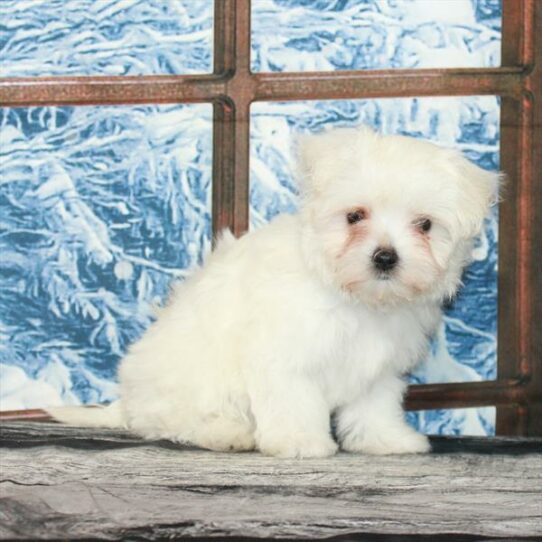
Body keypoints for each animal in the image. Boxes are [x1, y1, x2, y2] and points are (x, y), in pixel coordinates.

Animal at [49, 127, 500, 460]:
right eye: (355, 216)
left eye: (424, 225)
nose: (386, 257)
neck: (352, 297)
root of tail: (128, 399)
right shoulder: (285, 357)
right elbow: (293, 401)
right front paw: (301, 443)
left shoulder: (378, 367)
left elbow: (375, 405)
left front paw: (387, 439)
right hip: (190, 380)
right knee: (175, 420)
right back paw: (225, 433)